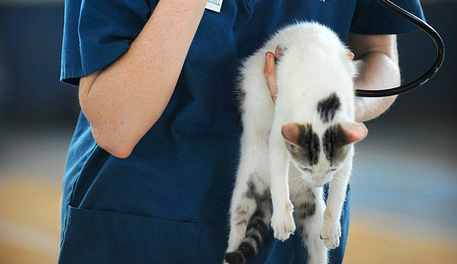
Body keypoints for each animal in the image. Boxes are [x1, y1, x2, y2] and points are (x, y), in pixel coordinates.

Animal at [223, 22, 366, 264]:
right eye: (305, 167)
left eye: (332, 170)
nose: (318, 182)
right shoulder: (282, 118)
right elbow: (278, 168)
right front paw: (282, 219)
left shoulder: (347, 138)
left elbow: (339, 186)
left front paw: (332, 227)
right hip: (247, 187)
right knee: (238, 224)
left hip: (311, 206)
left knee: (317, 245)